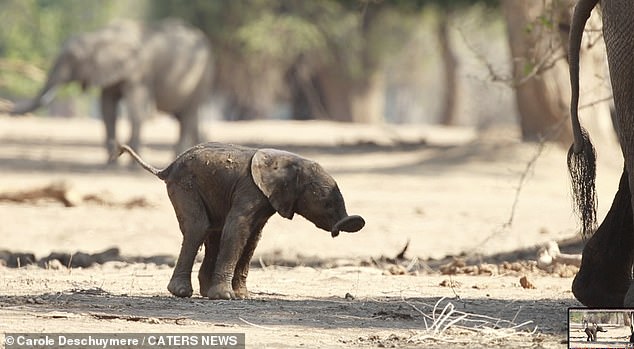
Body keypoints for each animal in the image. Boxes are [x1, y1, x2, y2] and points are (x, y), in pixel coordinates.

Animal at [11, 18, 214, 162]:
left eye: (74, 58)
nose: (9, 109)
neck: (100, 36)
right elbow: (107, 108)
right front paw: (111, 162)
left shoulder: (138, 71)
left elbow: (135, 109)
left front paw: (130, 165)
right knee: (186, 117)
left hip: (203, 76)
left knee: (188, 116)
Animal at [118, 142, 362, 300]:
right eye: (325, 200)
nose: (354, 222)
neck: (290, 161)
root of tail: (168, 167)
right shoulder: (250, 189)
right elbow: (238, 229)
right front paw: (226, 296)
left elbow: (253, 237)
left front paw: (243, 296)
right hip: (184, 185)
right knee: (199, 228)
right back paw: (183, 293)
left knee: (213, 232)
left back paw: (205, 293)